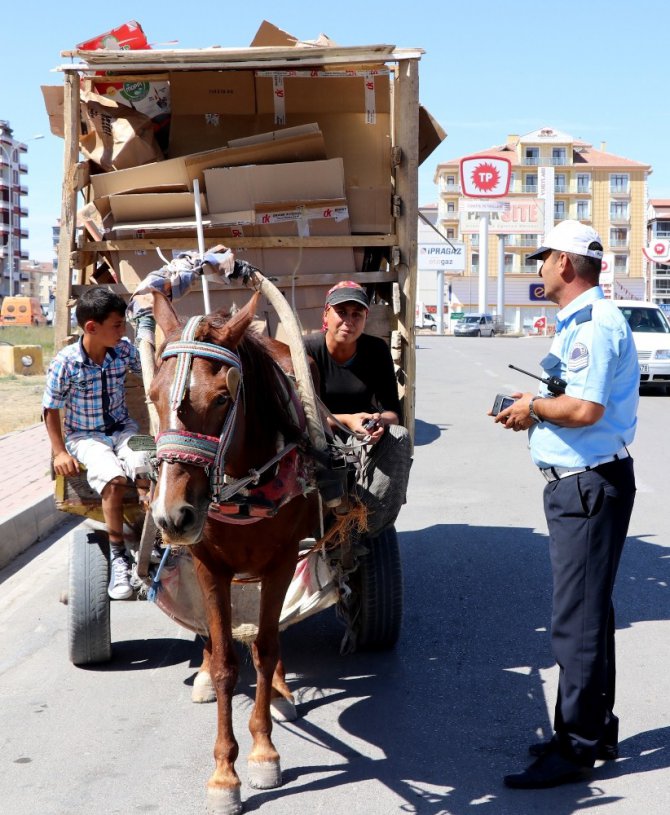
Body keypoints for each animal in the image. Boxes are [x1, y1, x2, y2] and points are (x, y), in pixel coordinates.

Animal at [150, 290, 322, 812]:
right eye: (152, 396)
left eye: (223, 399)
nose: (171, 516)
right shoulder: (209, 566)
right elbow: (228, 661)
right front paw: (225, 773)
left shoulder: (283, 560)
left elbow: (264, 649)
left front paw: (264, 752)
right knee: (213, 636)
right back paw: (205, 673)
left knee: (275, 634)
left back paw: (282, 691)